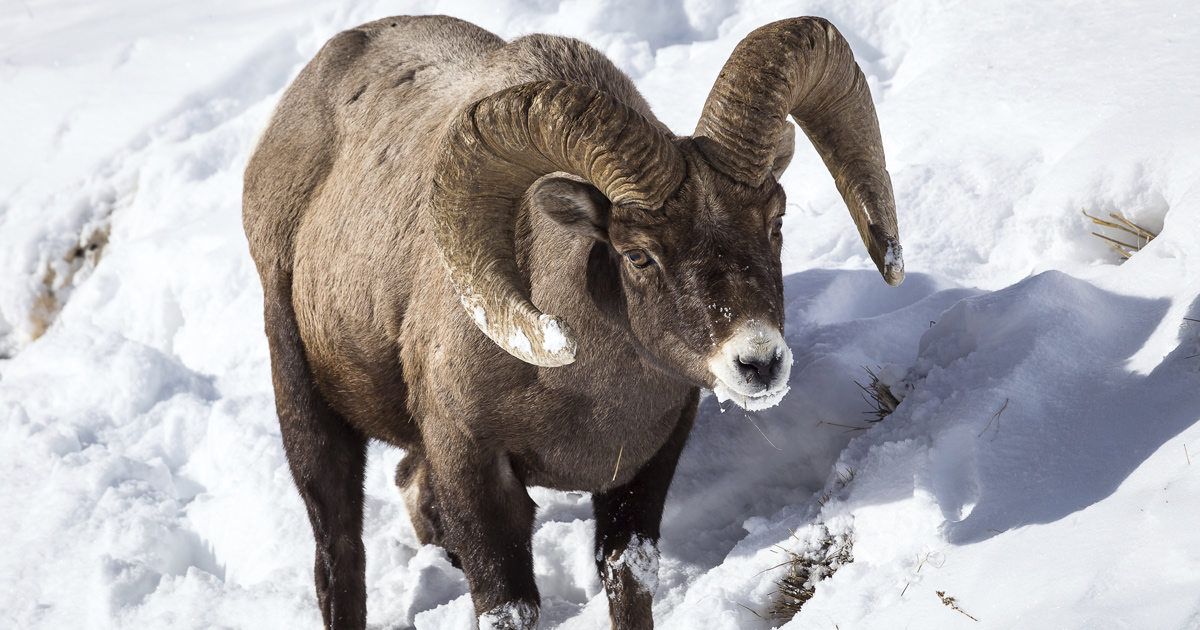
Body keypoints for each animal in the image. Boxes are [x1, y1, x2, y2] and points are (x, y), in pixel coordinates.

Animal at [242, 14, 902, 630]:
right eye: (638, 255)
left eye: (775, 221)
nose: (759, 362)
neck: (577, 394)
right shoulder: (475, 471)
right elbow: (508, 604)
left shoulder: (641, 469)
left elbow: (628, 578)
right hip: (305, 409)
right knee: (339, 557)